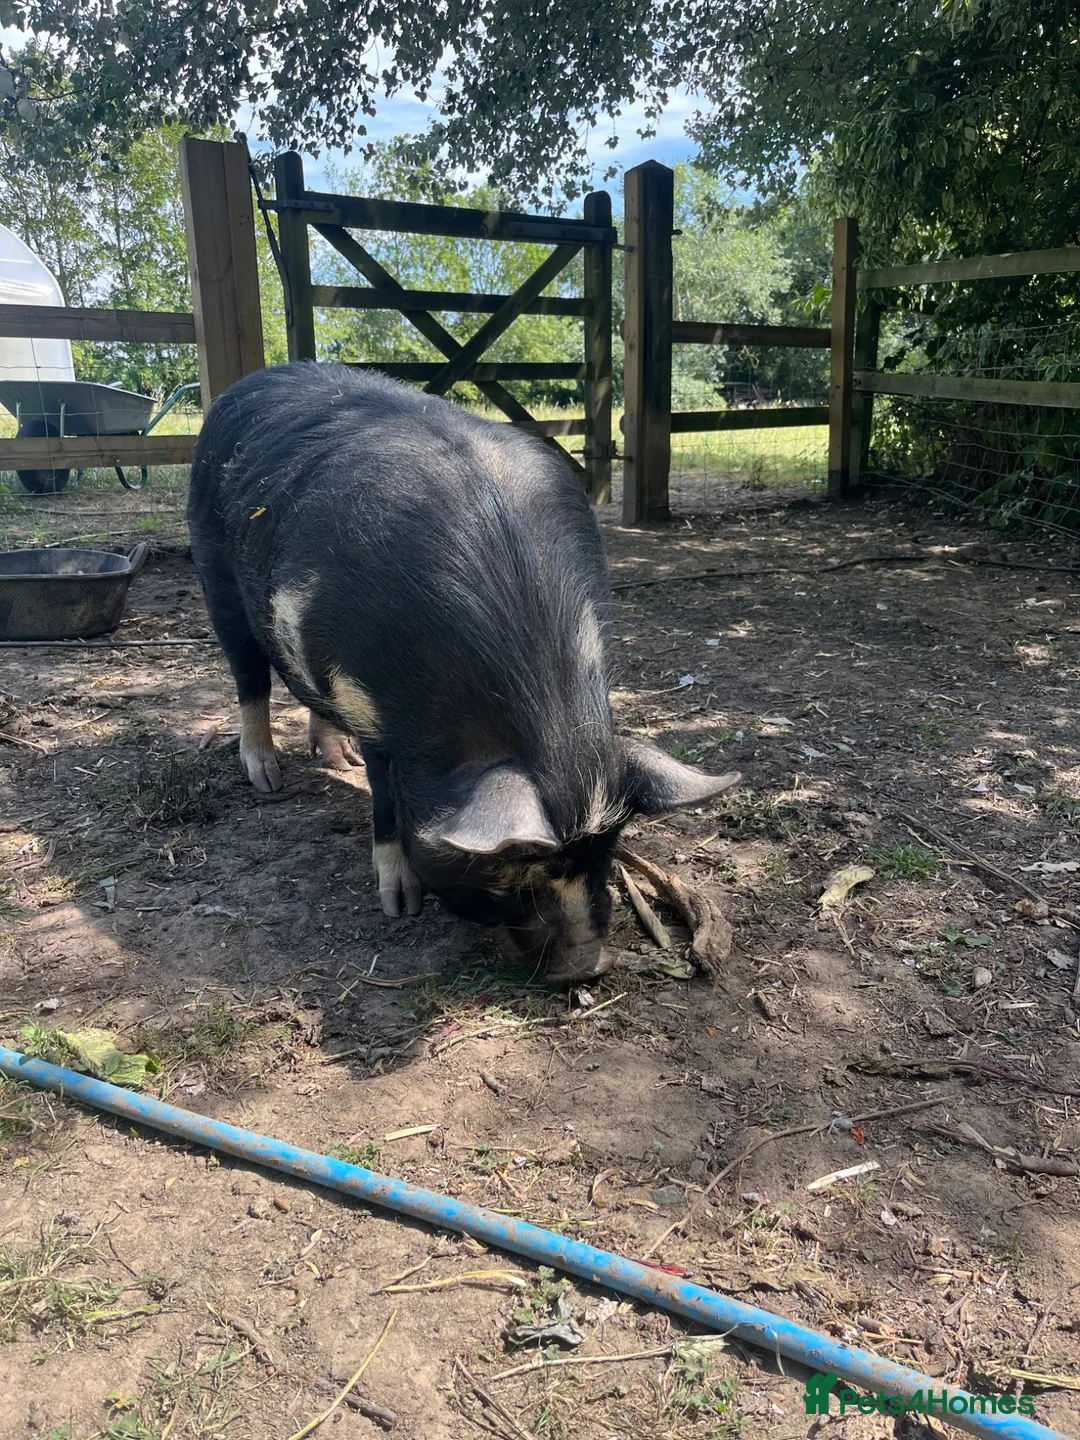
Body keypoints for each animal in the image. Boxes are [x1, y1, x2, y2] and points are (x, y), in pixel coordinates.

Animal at [187, 363, 738, 985]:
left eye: (608, 850)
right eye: (516, 868)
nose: (588, 969)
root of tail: (251, 383)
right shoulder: (372, 713)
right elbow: (386, 799)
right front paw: (400, 905)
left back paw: (335, 760)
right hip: (214, 572)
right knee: (249, 678)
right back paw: (266, 778)